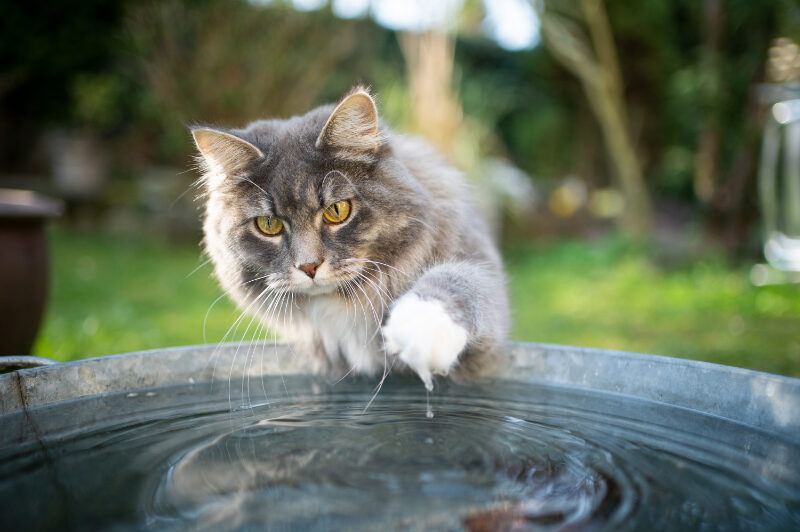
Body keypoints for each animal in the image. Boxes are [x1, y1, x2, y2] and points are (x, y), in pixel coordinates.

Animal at [191, 85, 510, 388]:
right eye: (269, 224)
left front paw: (420, 327)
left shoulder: (482, 281)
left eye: (337, 210)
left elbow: (459, 279)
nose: (308, 266)